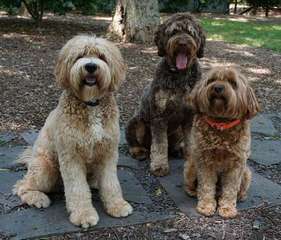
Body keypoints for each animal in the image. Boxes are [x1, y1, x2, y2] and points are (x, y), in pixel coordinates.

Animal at [126, 12, 205, 176]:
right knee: (134, 141)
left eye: (190, 33)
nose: (182, 43)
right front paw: (159, 166)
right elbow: (160, 144)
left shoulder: (190, 116)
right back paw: (139, 151)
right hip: (137, 122)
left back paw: (176, 150)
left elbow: (191, 141)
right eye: (174, 32)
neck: (180, 75)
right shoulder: (159, 116)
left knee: (171, 144)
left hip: (177, 131)